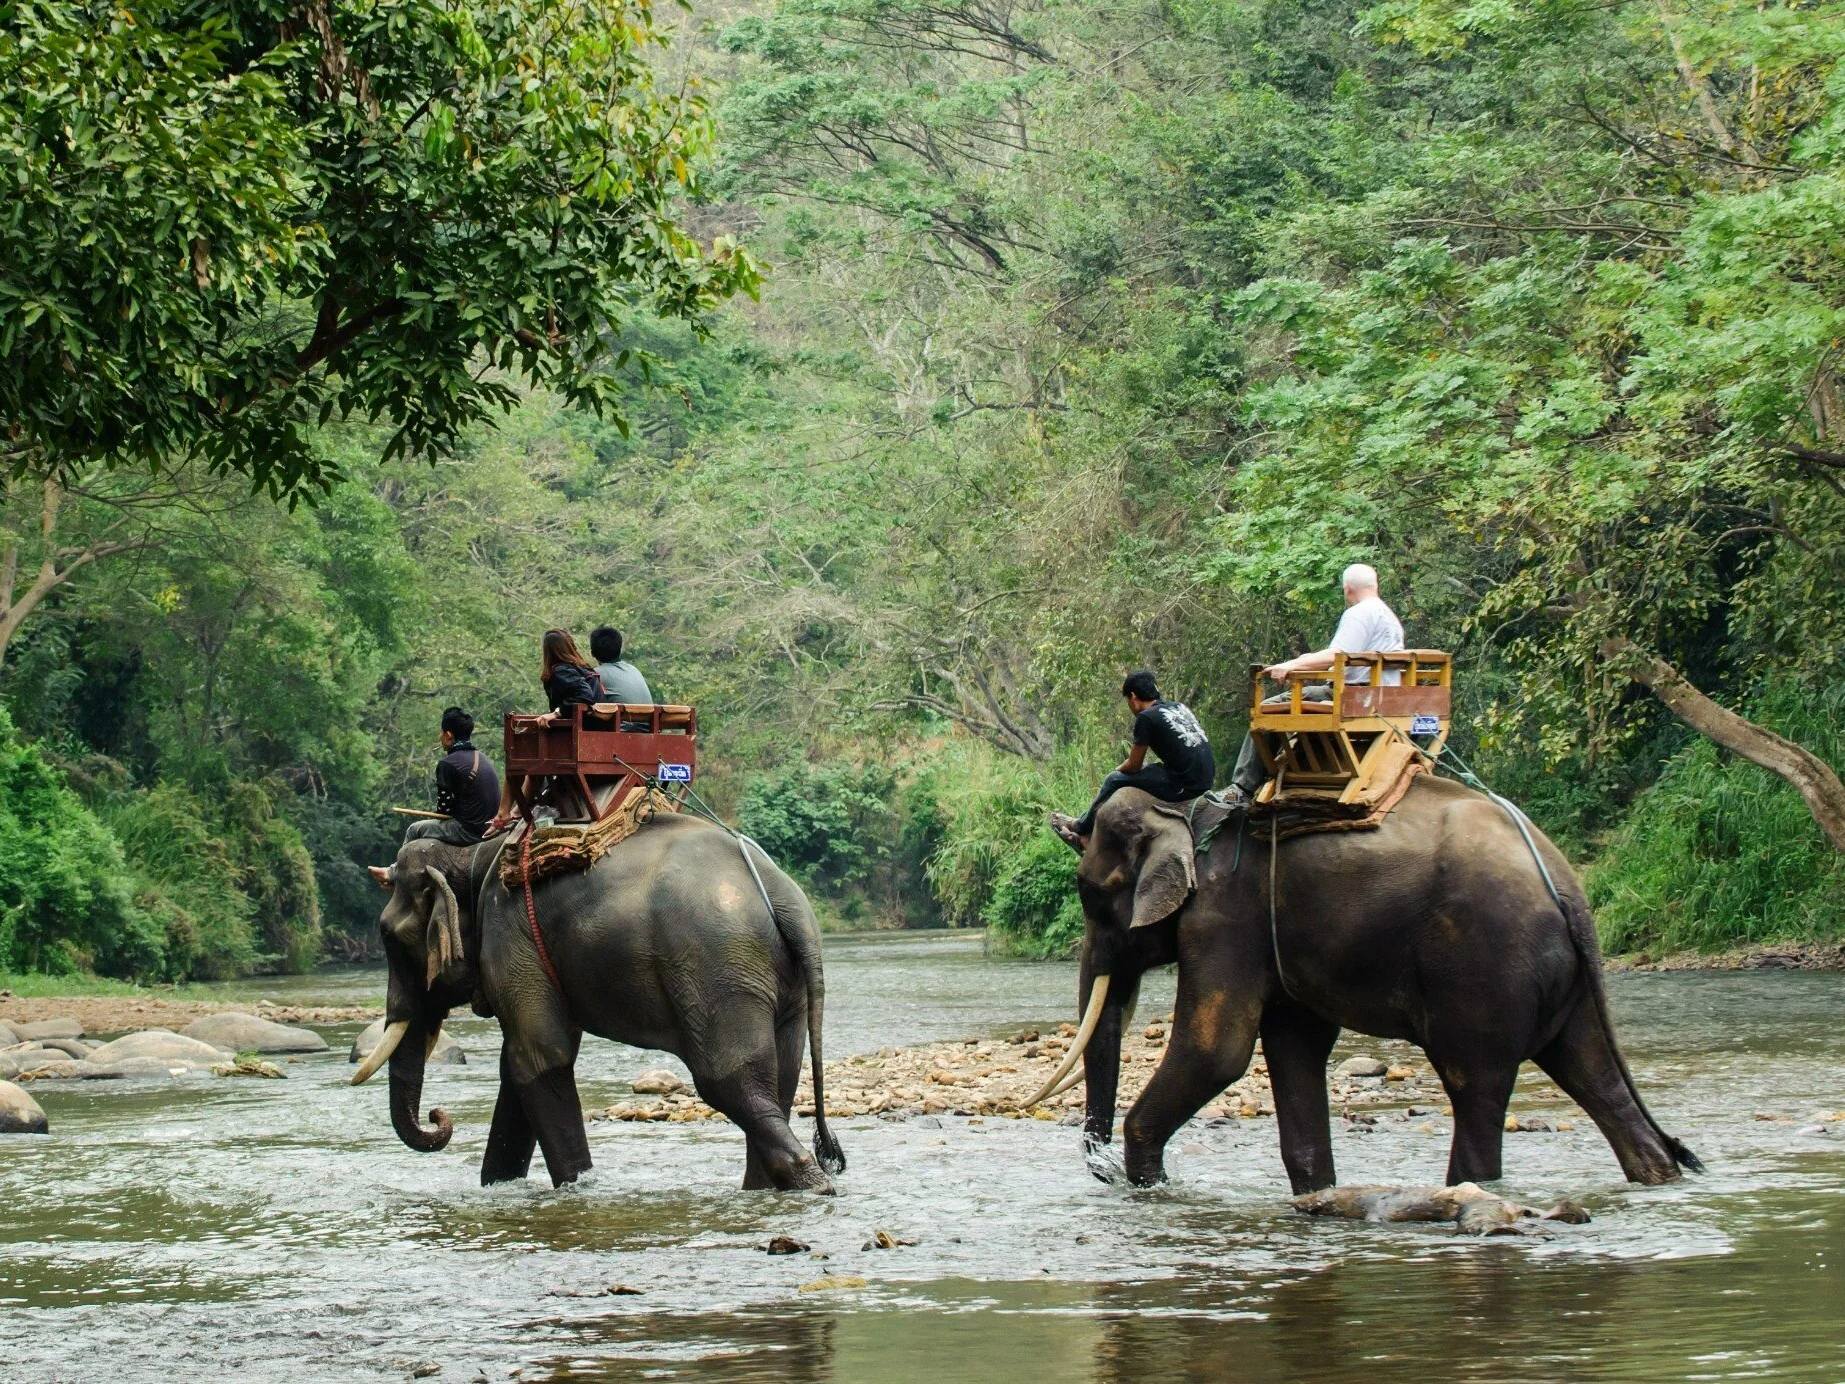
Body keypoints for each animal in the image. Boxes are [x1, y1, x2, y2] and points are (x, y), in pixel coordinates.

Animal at [354, 819, 845, 1195]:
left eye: (388, 937)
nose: (438, 1116)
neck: (472, 855)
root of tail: (785, 898)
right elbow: (519, 1066)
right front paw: (498, 1187)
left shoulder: (510, 936)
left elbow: (539, 1057)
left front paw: (576, 1188)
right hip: (774, 981)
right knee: (779, 1076)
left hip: (717, 968)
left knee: (727, 1082)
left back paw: (813, 1184)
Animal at [1040, 782, 1697, 1195]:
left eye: (1090, 896)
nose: (1107, 1172)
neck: (1181, 807)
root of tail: (1568, 888)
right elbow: (1294, 1047)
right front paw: (1315, 1192)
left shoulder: (1224, 920)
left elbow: (1216, 1053)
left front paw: (1152, 1187)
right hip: (1566, 984)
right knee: (1593, 1075)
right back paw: (1658, 1175)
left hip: (1484, 971)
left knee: (1476, 1086)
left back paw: (1469, 1190)